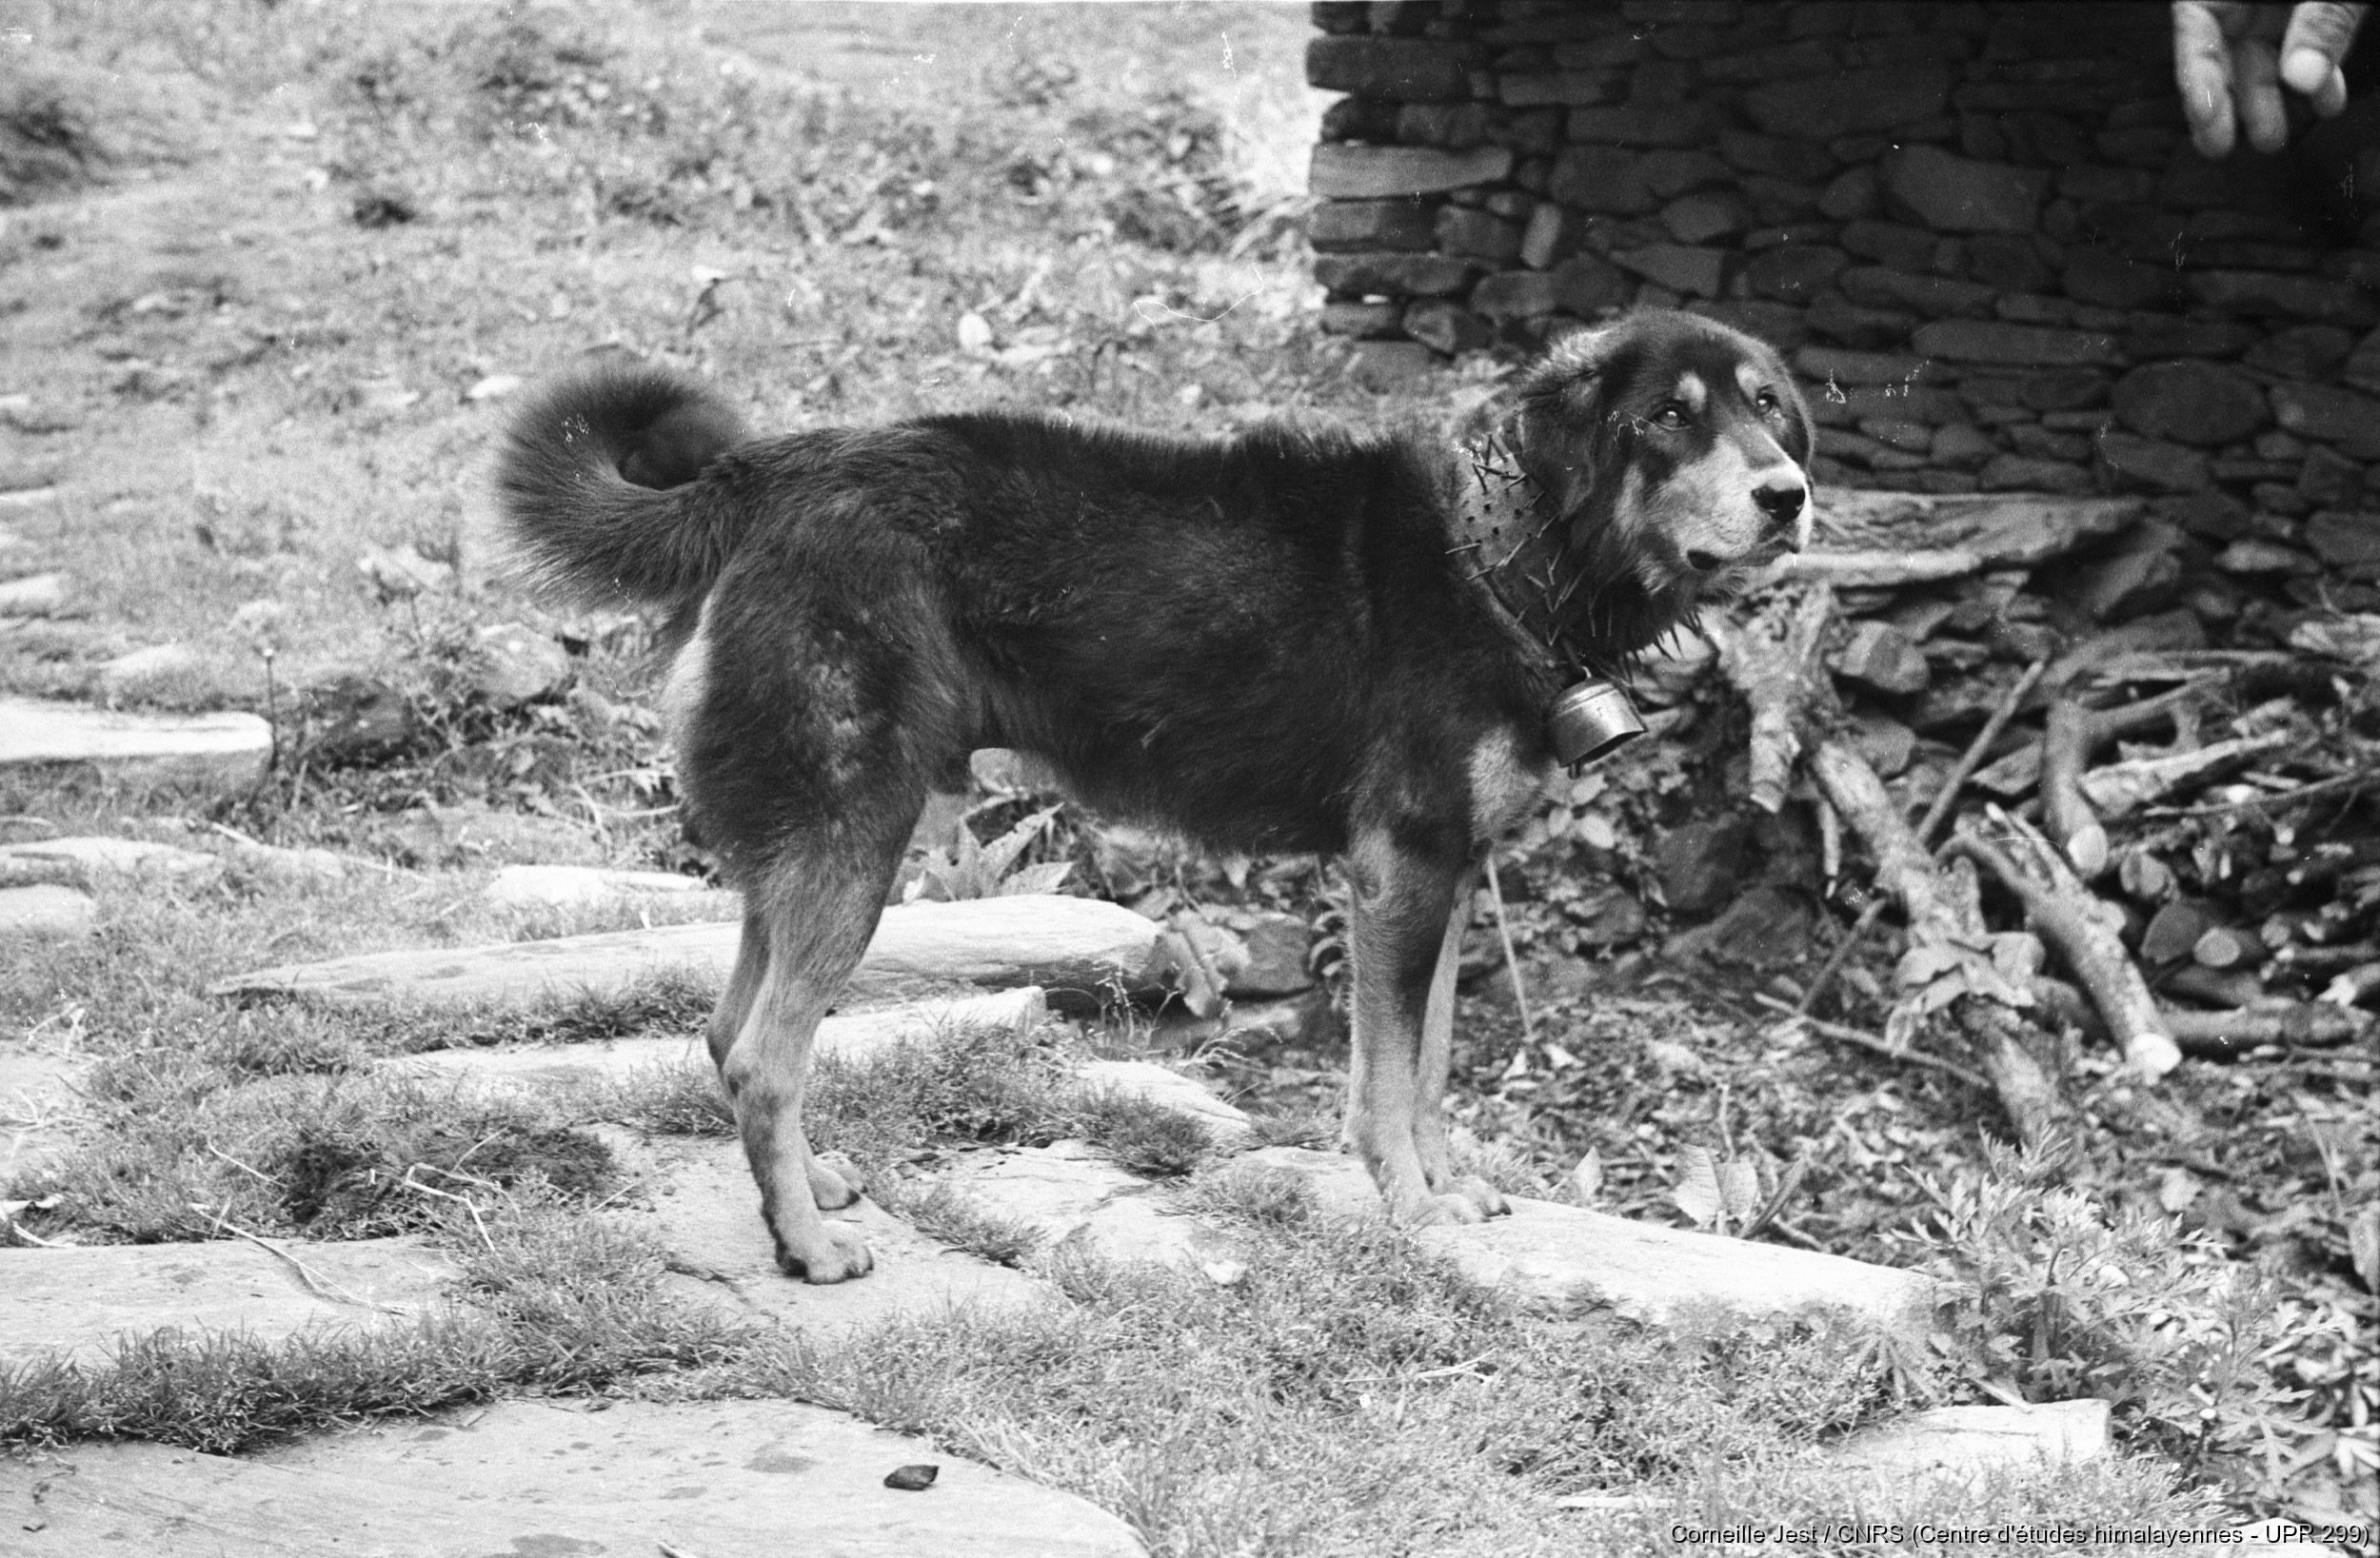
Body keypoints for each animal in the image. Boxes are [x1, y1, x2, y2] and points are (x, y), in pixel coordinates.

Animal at [495, 310, 1813, 1283]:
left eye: (1764, 407)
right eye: (1667, 417)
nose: (1792, 493)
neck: (1501, 549)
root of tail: (758, 476)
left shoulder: (1445, 880)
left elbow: (1431, 1066)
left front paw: (1448, 1188)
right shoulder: (1401, 869)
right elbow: (1386, 1082)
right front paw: (1410, 1207)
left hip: (807, 847)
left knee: (728, 1037)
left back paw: (808, 1191)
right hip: (854, 840)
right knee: (766, 1058)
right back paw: (809, 1249)